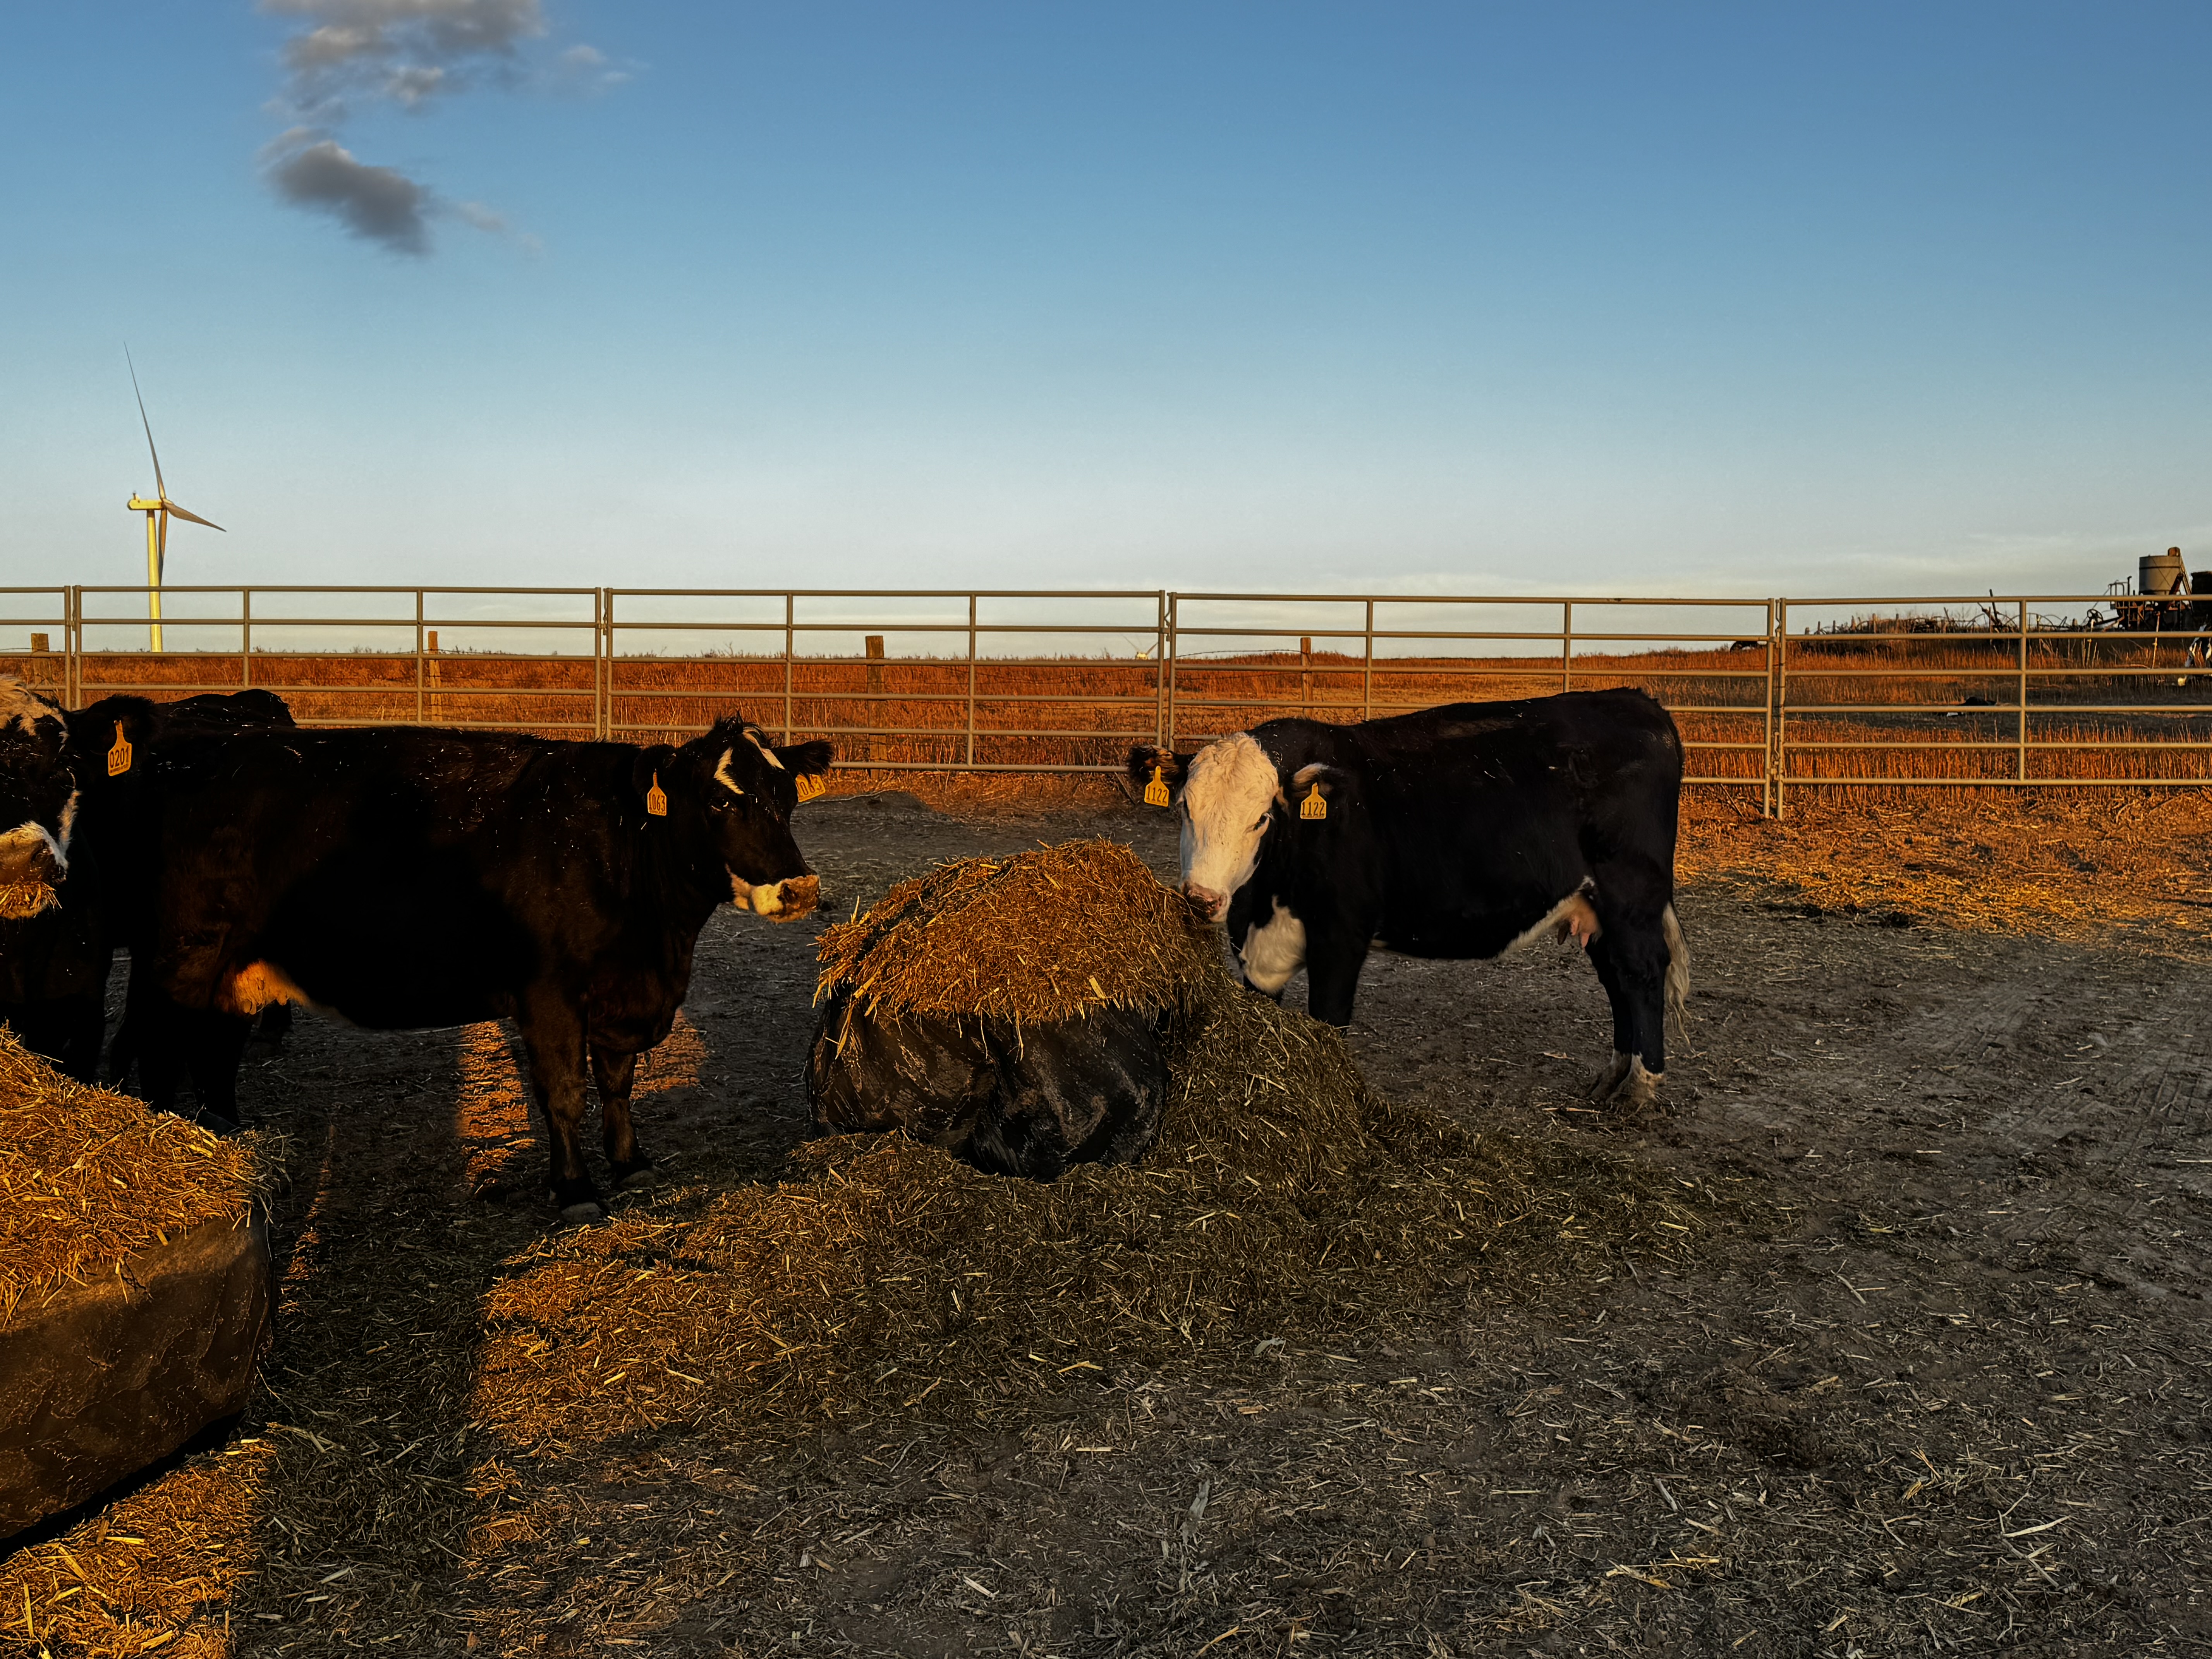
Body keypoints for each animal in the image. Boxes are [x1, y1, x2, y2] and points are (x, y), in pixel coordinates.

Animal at [1141, 694, 1690, 1110]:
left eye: (1260, 819)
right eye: (1184, 808)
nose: (1202, 898)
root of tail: (1639, 702)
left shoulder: (1341, 938)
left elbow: (1329, 1019)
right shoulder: (1254, 948)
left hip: (1631, 898)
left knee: (1642, 974)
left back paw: (1641, 1086)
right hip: (1598, 910)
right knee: (1618, 980)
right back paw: (1614, 1075)